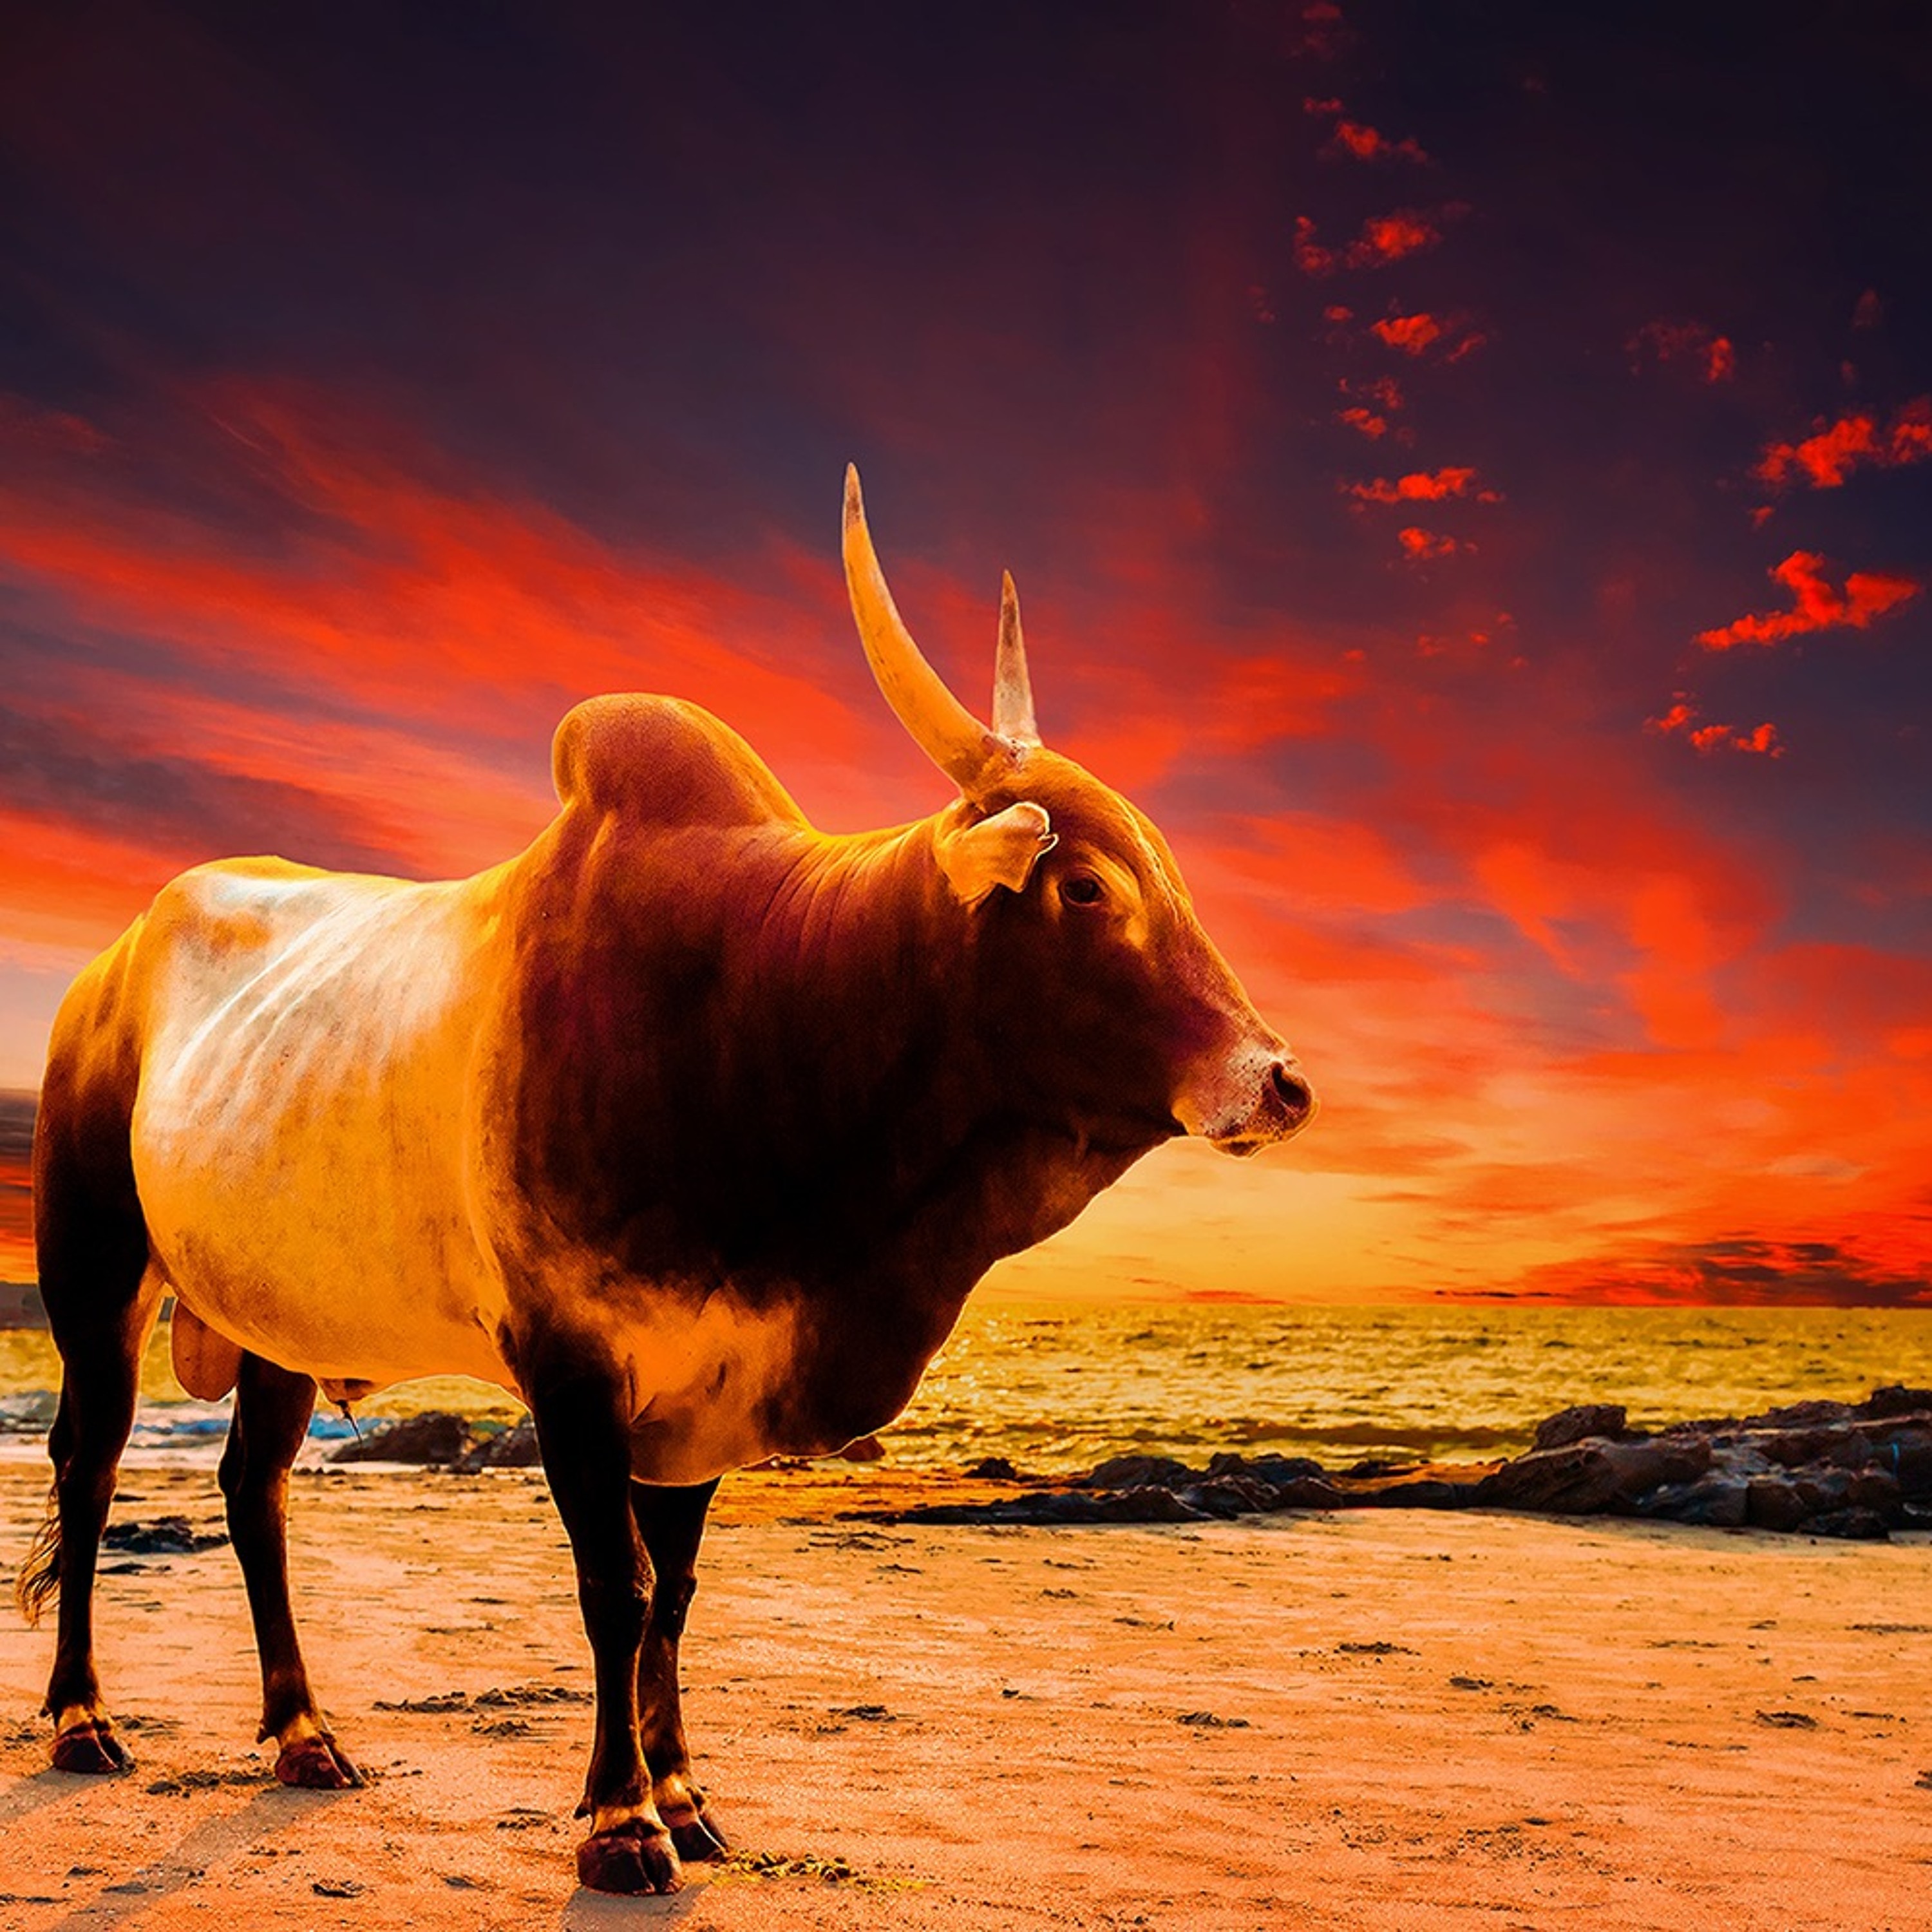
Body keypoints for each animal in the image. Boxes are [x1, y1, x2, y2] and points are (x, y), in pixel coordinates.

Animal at [18, 467, 1315, 1894]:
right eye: (1085, 885)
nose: (1278, 1082)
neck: (769, 1007)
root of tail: (113, 962)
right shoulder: (575, 1362)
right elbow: (618, 1588)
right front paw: (622, 1823)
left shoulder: (707, 1381)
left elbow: (677, 1596)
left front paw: (687, 1798)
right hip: (94, 1270)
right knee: (89, 1465)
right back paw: (82, 1719)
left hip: (281, 1320)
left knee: (254, 1490)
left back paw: (305, 1734)